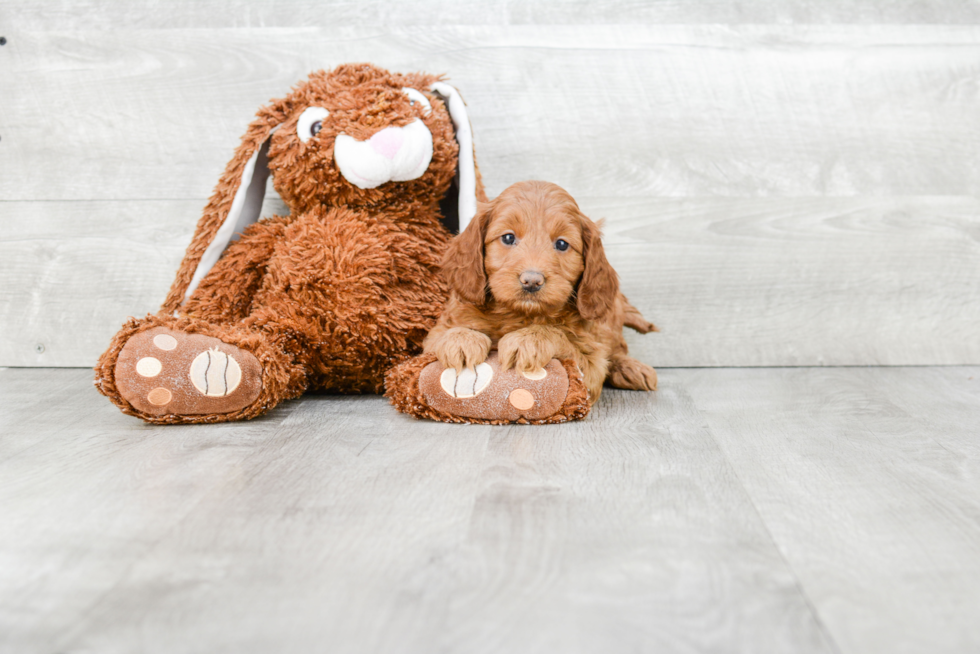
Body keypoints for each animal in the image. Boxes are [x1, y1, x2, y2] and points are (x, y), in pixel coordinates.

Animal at [424, 181, 660, 404]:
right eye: (508, 238)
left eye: (562, 244)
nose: (531, 281)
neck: (519, 315)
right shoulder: (434, 337)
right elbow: (447, 334)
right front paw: (461, 340)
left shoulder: (592, 366)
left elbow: (560, 336)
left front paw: (528, 339)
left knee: (617, 348)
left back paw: (630, 368)